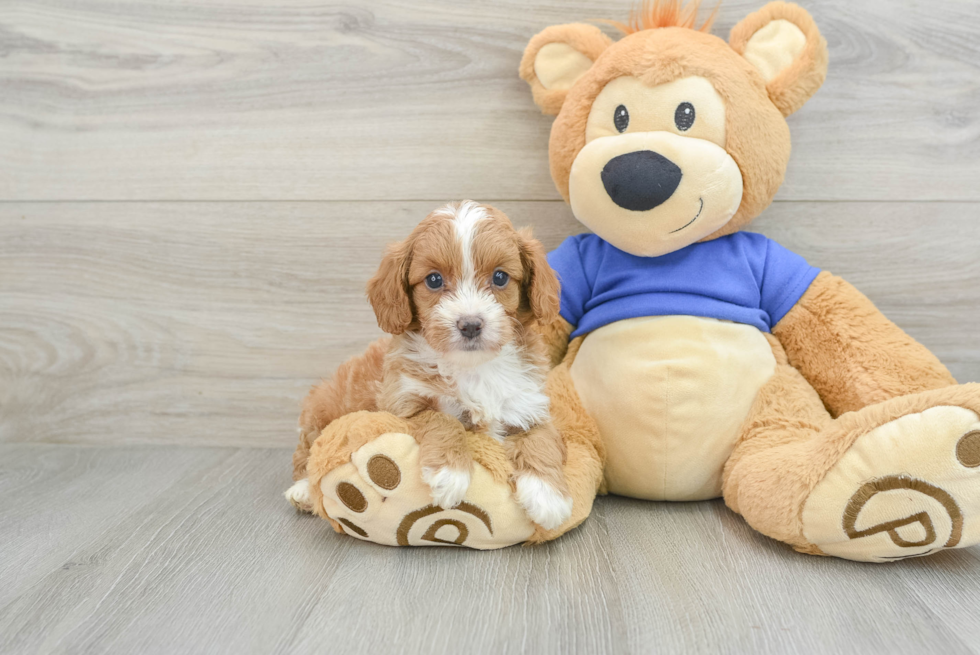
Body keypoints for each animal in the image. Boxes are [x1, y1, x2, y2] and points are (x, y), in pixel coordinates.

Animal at [286, 201, 576, 532]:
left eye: (500, 277)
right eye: (434, 280)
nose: (470, 324)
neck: (472, 367)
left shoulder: (528, 404)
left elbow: (543, 439)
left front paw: (549, 496)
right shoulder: (403, 405)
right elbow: (442, 419)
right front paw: (450, 473)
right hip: (321, 410)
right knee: (307, 451)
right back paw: (302, 491)